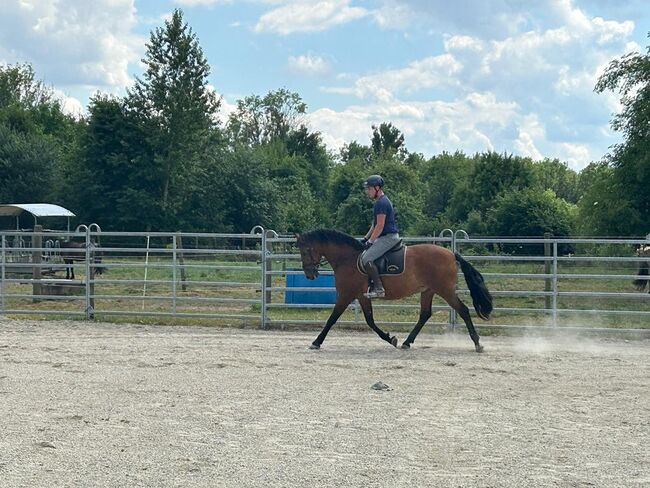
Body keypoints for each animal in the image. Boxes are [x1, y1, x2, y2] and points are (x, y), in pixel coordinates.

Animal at [294, 231, 492, 352]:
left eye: (304, 251)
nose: (309, 274)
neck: (347, 259)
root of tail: (451, 253)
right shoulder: (361, 296)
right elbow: (370, 321)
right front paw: (391, 339)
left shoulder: (346, 295)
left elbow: (332, 319)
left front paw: (316, 342)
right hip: (428, 290)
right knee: (425, 314)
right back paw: (406, 342)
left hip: (445, 290)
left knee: (463, 310)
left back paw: (477, 344)